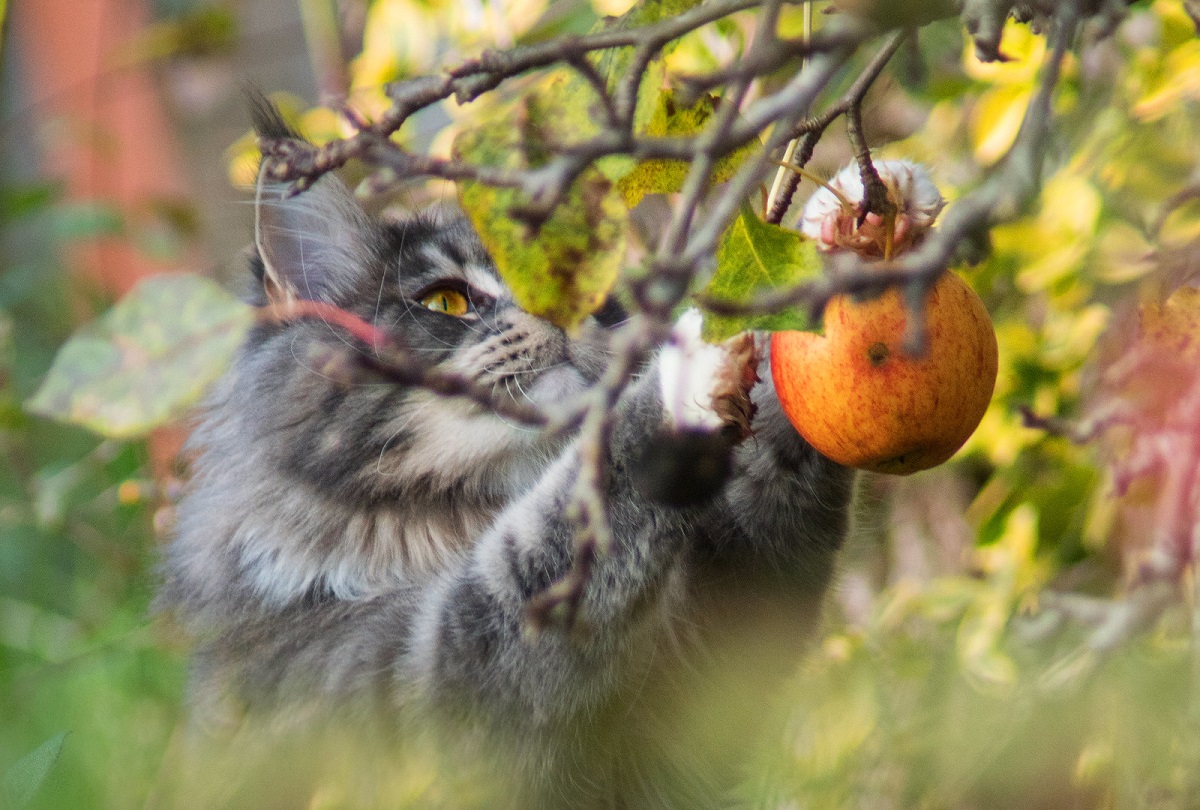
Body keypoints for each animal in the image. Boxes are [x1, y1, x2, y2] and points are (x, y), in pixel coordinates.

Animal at [157, 101, 854, 810]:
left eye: (601, 299)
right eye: (447, 301)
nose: (575, 312)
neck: (448, 525)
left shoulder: (716, 664)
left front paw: (833, 247)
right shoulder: (417, 681)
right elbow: (541, 541)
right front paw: (680, 374)